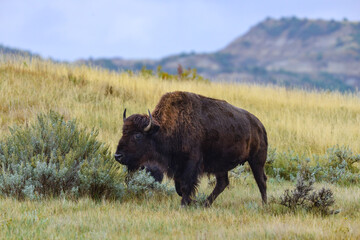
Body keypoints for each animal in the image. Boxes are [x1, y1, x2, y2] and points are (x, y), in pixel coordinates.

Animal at [115, 92, 268, 206]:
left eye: (138, 135)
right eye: (123, 132)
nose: (118, 156)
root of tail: (259, 125)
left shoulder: (191, 164)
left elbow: (185, 186)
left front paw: (185, 204)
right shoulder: (177, 167)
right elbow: (179, 187)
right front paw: (191, 201)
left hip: (256, 161)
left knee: (261, 181)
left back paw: (264, 204)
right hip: (221, 166)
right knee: (222, 183)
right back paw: (205, 204)